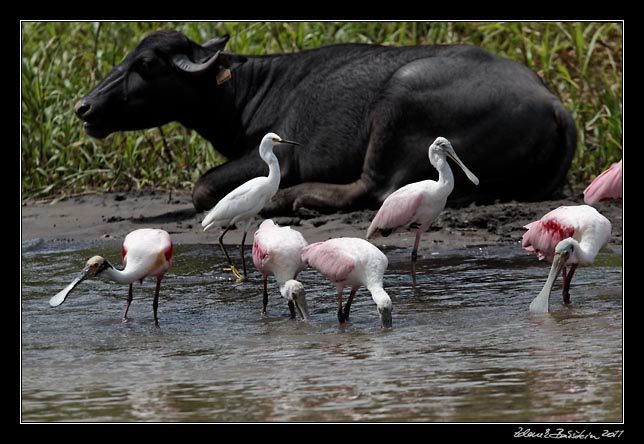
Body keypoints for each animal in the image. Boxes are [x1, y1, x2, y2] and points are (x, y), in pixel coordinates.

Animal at [74, 29, 572, 213]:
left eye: (145, 65)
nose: (84, 108)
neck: (244, 93)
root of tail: (555, 103)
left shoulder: (276, 157)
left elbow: (201, 187)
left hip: (401, 95)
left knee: (375, 188)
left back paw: (291, 200)